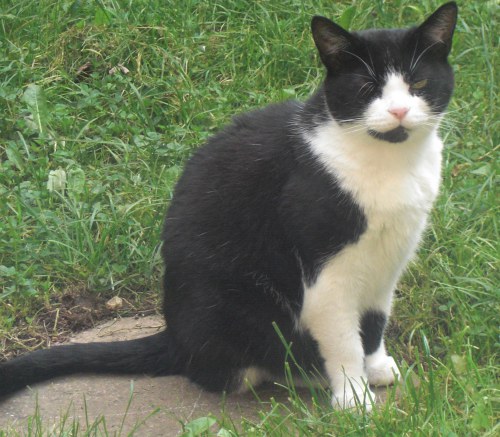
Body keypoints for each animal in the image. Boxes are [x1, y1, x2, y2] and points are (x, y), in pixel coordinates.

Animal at [0, 2, 458, 408]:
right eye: (367, 89)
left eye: (418, 85)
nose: (398, 110)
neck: (391, 164)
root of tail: (173, 335)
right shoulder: (326, 273)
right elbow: (345, 339)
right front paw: (353, 398)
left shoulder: (389, 259)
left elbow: (375, 322)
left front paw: (376, 367)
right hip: (232, 311)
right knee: (233, 371)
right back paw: (306, 374)